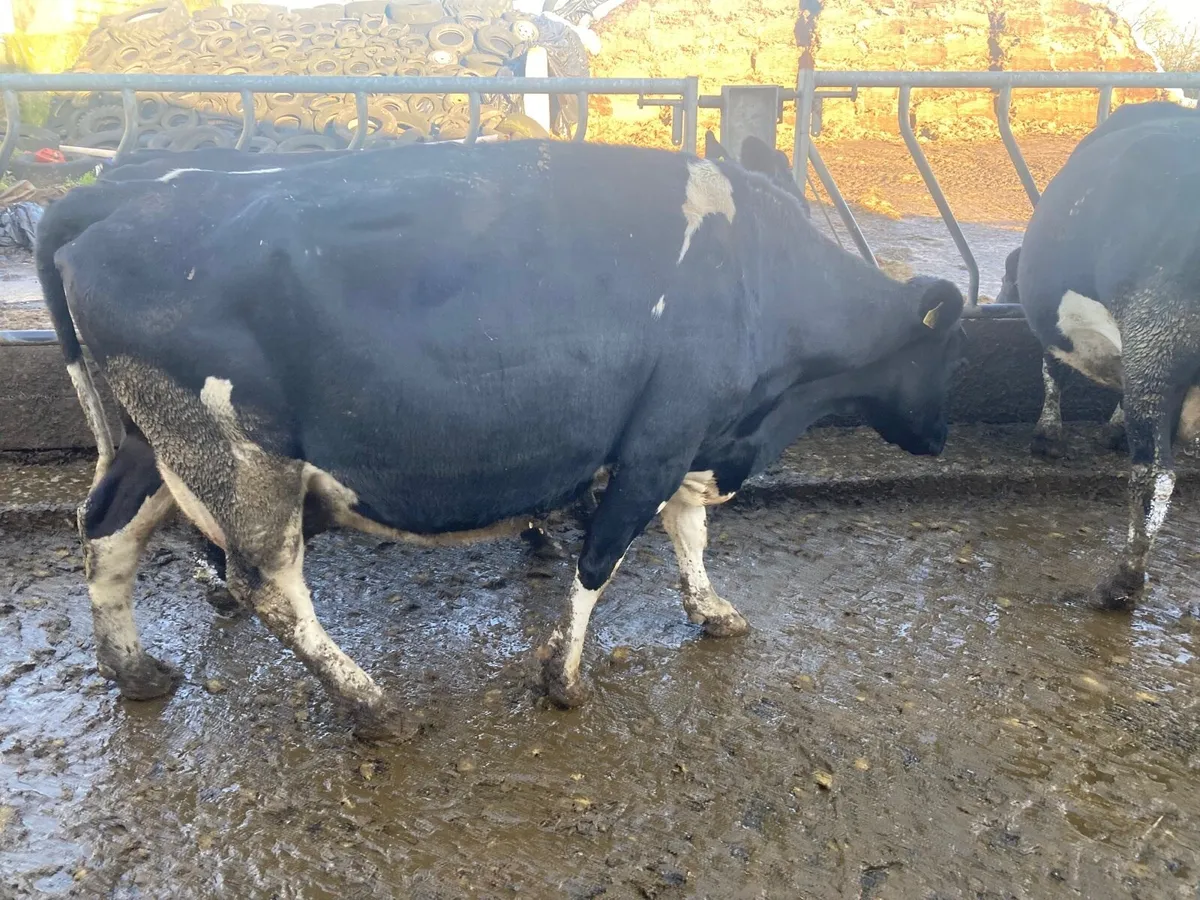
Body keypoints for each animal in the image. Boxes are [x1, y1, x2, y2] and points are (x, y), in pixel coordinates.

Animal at [38, 139, 964, 739]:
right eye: (941, 353)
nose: (944, 433)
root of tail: (117, 200)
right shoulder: (660, 436)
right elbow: (607, 556)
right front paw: (563, 678)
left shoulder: (690, 438)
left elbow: (688, 530)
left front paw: (710, 609)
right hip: (242, 454)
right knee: (269, 585)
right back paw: (371, 705)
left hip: (151, 442)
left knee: (106, 532)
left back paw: (135, 671)